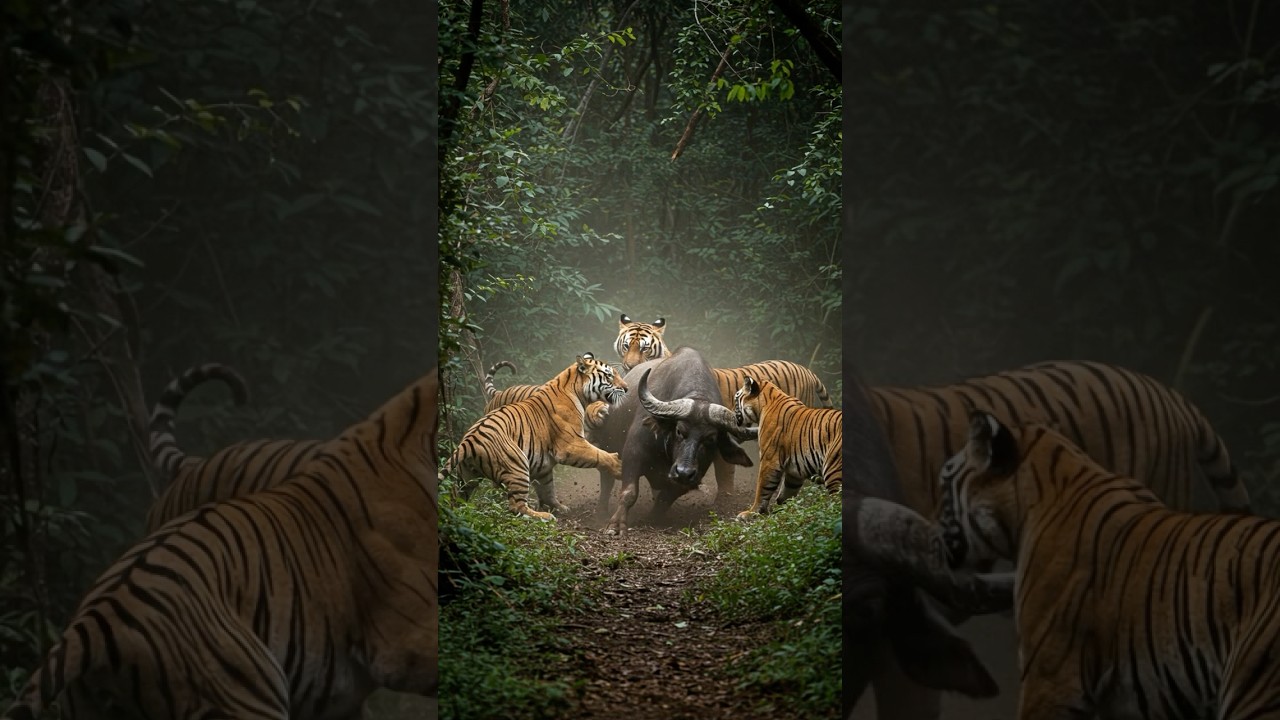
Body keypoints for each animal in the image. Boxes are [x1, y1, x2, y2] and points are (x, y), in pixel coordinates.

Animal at [445, 352, 626, 520]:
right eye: (609, 375)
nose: (626, 388)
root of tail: (469, 440)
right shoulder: (570, 445)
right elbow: (598, 454)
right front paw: (618, 465)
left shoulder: (544, 465)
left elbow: (547, 489)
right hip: (517, 465)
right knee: (516, 507)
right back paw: (543, 516)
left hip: (467, 478)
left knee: (458, 496)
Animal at [732, 376, 841, 518]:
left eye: (736, 397)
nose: (732, 415)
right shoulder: (795, 469)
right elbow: (786, 493)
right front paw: (784, 513)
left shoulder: (769, 459)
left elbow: (762, 489)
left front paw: (751, 513)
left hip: (833, 470)